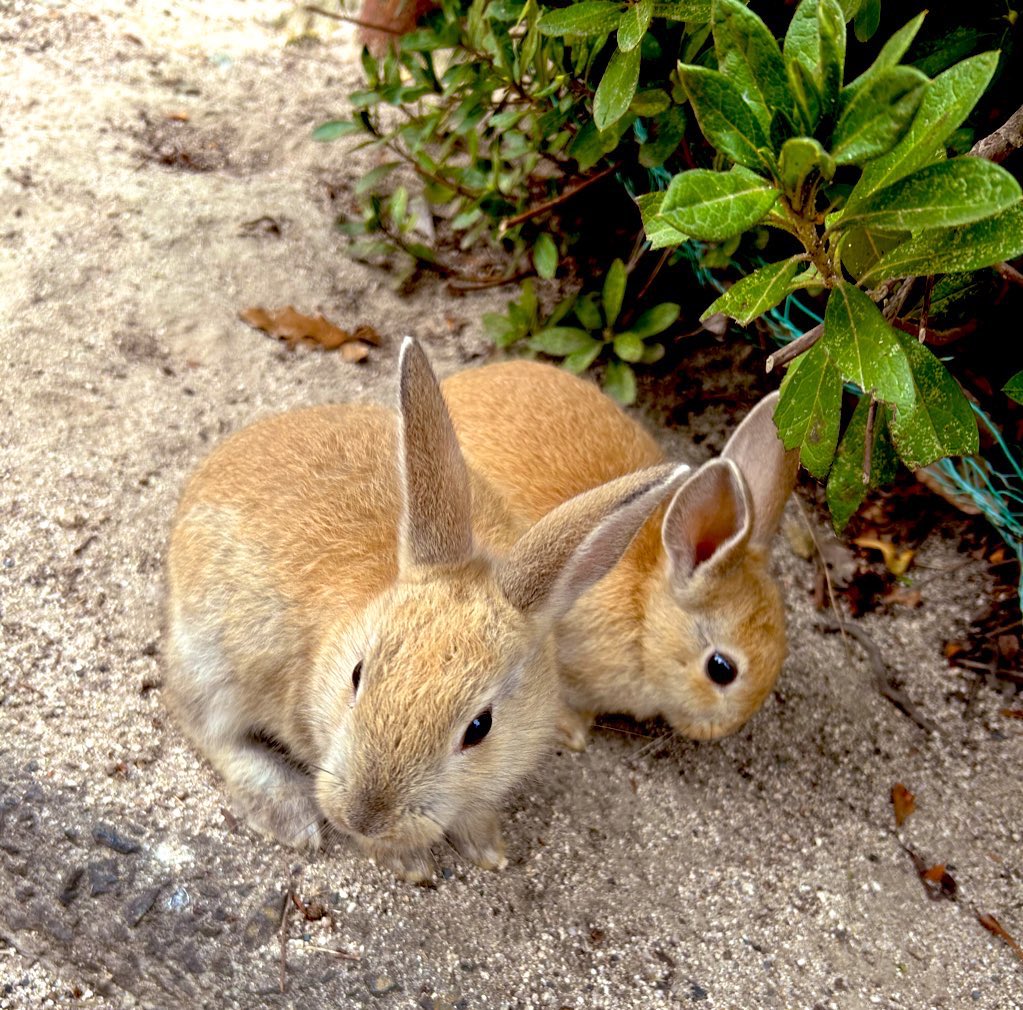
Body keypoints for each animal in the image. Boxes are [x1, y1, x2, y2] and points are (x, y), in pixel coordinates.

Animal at [163, 335, 687, 880]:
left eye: (480, 727)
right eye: (357, 674)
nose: (364, 816)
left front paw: (487, 850)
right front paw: (408, 862)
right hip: (209, 660)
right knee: (205, 727)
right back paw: (285, 812)